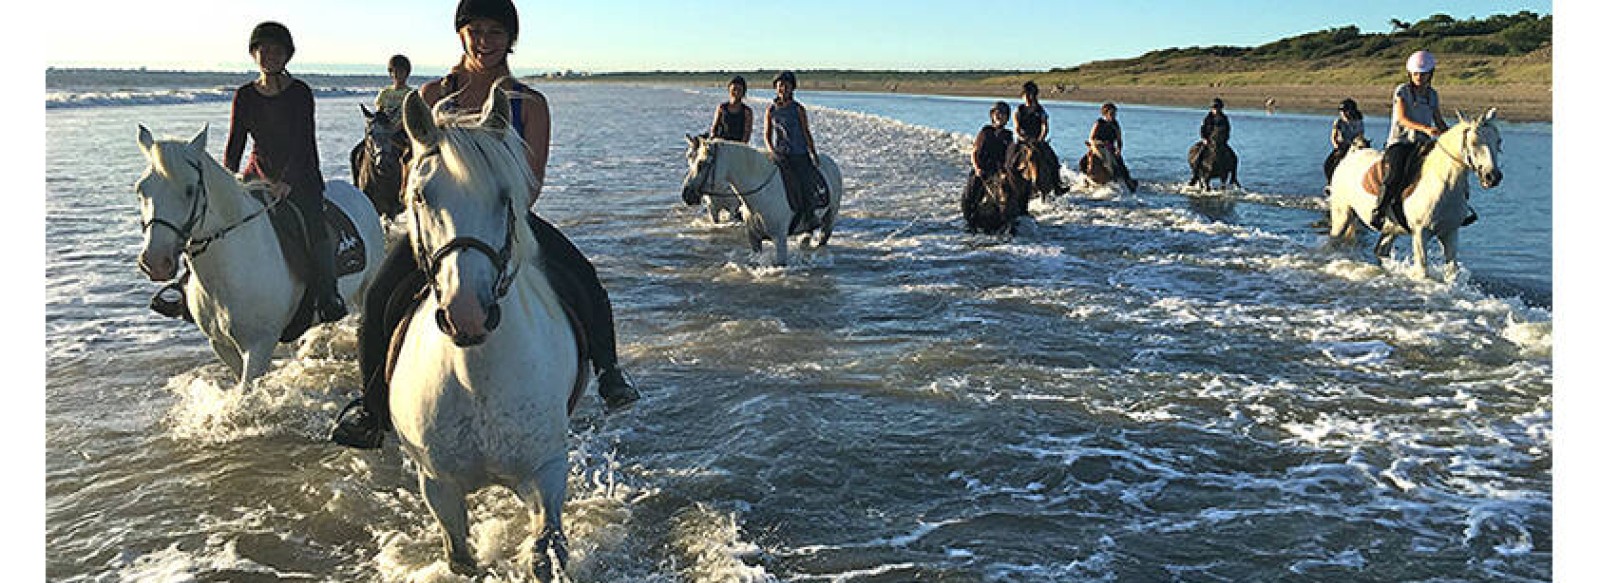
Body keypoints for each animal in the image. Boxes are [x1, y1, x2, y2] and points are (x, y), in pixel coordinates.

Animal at [131, 123, 380, 387]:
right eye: (140, 189)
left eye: (190, 190)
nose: (154, 262)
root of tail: (357, 193)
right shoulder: (221, 344)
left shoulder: (259, 346)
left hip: (366, 289)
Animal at [387, 88, 588, 579]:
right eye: (420, 196)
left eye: (504, 196)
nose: (468, 314)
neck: (475, 375)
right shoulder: (438, 486)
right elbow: (460, 556)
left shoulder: (547, 471)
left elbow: (547, 550)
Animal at [681, 135, 844, 265]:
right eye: (690, 158)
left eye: (701, 164)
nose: (686, 194)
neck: (762, 195)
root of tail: (831, 162)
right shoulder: (754, 238)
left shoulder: (780, 239)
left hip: (829, 219)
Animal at [1324, 108, 1497, 277]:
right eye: (1474, 142)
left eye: (1498, 141)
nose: (1493, 177)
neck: (1443, 183)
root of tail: (1349, 157)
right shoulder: (1420, 233)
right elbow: (1422, 272)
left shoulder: (1450, 232)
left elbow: (1452, 272)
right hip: (1342, 215)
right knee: (1333, 242)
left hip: (1390, 228)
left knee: (1381, 250)